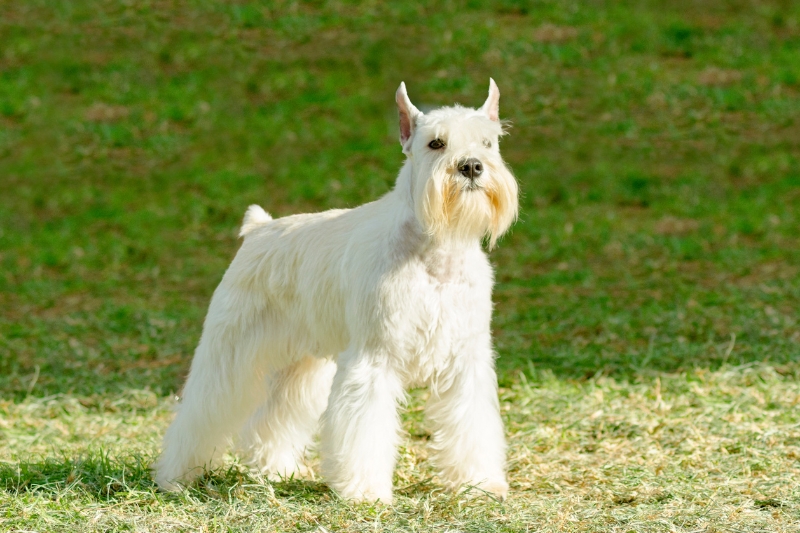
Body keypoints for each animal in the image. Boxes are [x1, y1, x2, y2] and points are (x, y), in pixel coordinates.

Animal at [155, 79, 520, 502]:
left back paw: (274, 469)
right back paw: (176, 476)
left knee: (272, 417)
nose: (472, 166)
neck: (435, 247)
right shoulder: (374, 359)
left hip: (301, 365)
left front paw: (480, 482)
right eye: (436, 143)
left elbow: (472, 426)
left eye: (488, 142)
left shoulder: (465, 360)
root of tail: (259, 228)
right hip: (229, 354)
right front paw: (366, 492)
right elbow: (365, 430)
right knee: (201, 411)